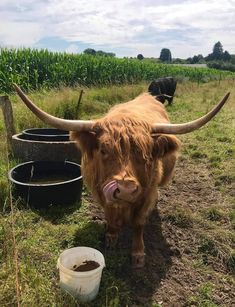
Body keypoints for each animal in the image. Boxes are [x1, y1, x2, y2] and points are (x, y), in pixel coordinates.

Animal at [14, 85, 229, 270]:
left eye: (146, 153)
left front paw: (138, 254)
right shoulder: (100, 192)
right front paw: (111, 237)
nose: (125, 190)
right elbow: (110, 216)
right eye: (103, 149)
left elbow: (139, 223)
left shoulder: (147, 195)